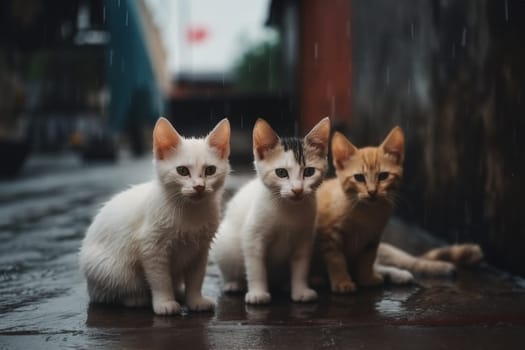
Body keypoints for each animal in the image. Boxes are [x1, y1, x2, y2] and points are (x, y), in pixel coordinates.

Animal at [79, 117, 230, 314]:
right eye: (182, 171)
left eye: (210, 170)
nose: (199, 187)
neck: (189, 211)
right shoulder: (152, 247)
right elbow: (160, 280)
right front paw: (164, 303)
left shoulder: (200, 250)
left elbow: (196, 278)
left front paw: (195, 300)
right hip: (111, 269)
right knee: (113, 293)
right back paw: (137, 298)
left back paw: (179, 293)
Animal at [211, 117, 330, 304]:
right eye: (281, 173)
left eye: (309, 172)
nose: (297, 190)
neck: (288, 208)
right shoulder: (253, 237)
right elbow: (256, 267)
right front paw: (258, 293)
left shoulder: (304, 239)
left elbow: (301, 266)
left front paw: (300, 290)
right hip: (226, 246)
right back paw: (234, 284)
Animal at [314, 128, 482, 292]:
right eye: (359, 178)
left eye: (383, 176)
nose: (372, 192)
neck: (365, 212)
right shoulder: (329, 236)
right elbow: (336, 260)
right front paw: (342, 282)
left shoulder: (373, 239)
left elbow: (367, 260)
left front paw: (366, 279)